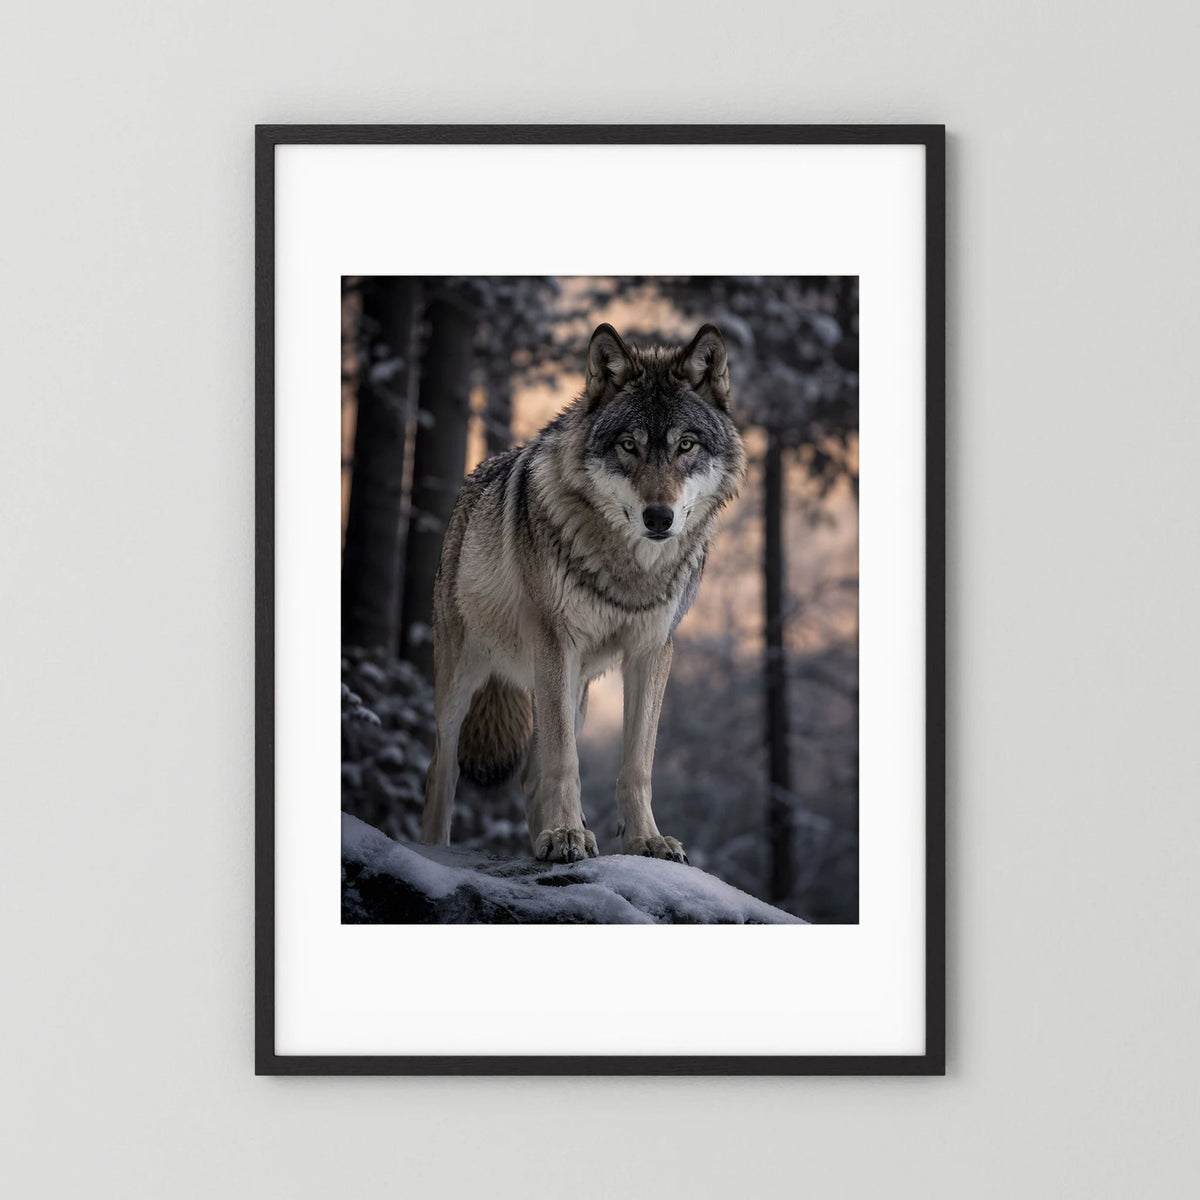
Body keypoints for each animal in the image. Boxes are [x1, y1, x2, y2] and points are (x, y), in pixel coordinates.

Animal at [419, 322, 746, 864]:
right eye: (629, 445)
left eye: (686, 445)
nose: (659, 517)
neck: (629, 568)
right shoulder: (557, 642)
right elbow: (565, 761)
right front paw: (566, 835)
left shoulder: (652, 651)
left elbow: (636, 765)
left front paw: (645, 841)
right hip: (466, 678)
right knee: (442, 768)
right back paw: (437, 850)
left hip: (575, 690)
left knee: (530, 776)